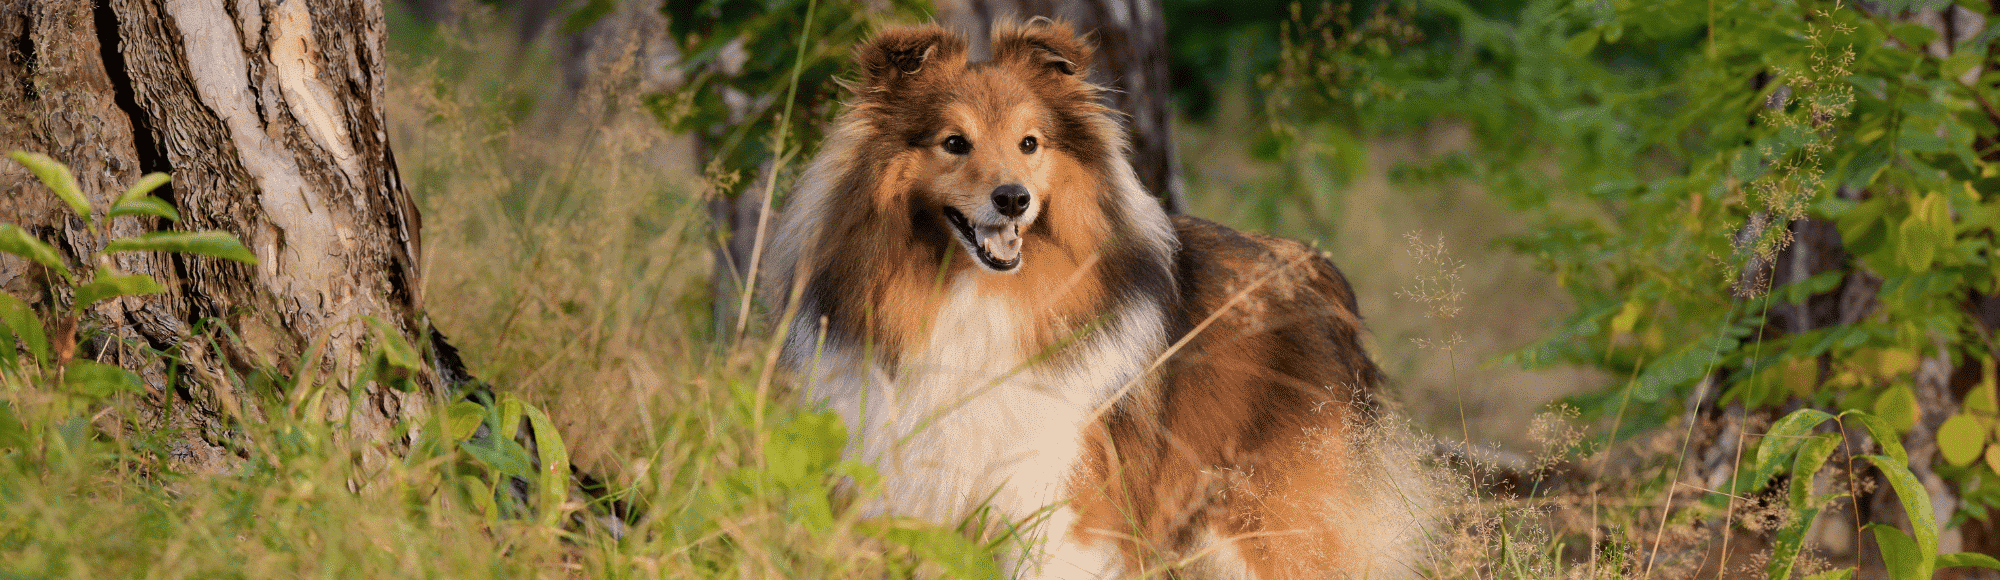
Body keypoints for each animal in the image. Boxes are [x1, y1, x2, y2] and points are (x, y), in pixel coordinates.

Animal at [764, 19, 1424, 580]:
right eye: (954, 142)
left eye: (1030, 143)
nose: (1014, 199)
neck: (976, 293)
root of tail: (1308, 266)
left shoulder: (1056, 503)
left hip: (1270, 525)